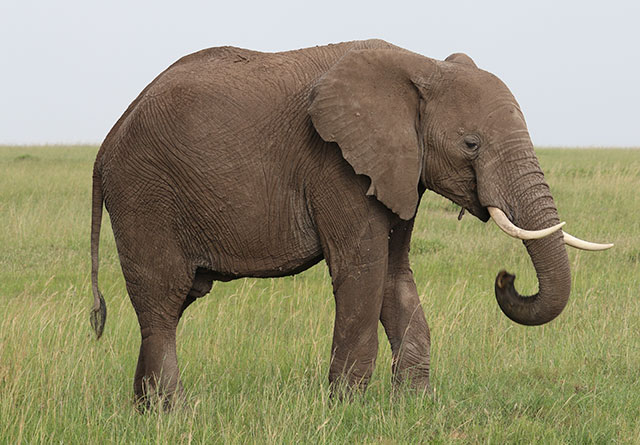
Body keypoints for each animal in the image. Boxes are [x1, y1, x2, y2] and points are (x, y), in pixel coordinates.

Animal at [89, 39, 612, 407]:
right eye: (471, 144)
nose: (507, 277)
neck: (419, 66)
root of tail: (105, 143)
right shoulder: (336, 165)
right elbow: (363, 270)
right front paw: (347, 411)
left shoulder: (398, 169)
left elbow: (395, 276)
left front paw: (415, 408)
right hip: (144, 196)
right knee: (163, 302)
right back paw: (173, 414)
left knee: (170, 307)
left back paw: (146, 411)